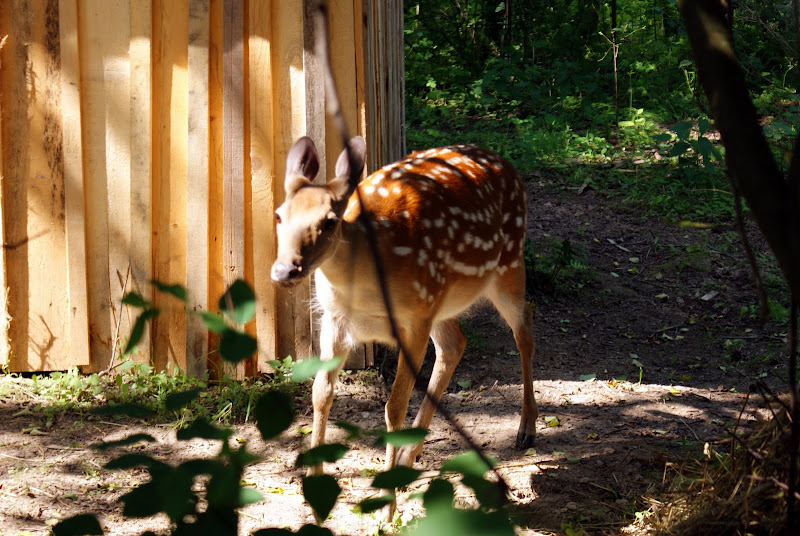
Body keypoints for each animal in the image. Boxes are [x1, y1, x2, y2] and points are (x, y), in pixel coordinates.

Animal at [270, 136, 538, 476]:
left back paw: (526, 429)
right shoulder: (335, 319)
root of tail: (509, 167)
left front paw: (389, 483)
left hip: (506, 267)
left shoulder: (413, 319)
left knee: (524, 325)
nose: (284, 271)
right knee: (454, 344)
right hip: (439, 300)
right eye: (279, 215)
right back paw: (411, 454)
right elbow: (321, 395)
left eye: (329, 222)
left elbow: (394, 406)